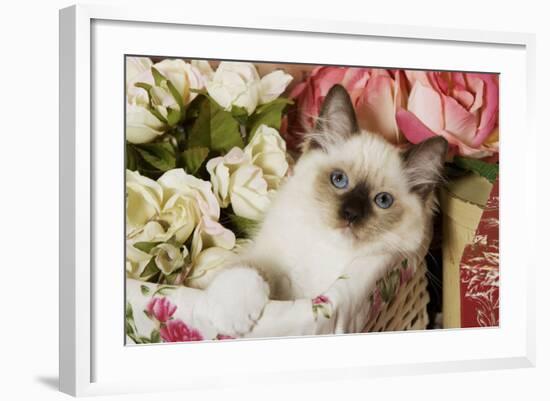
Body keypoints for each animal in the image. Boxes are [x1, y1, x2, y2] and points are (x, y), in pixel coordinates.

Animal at [196, 83, 446, 334]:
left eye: (383, 200)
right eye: (339, 179)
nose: (351, 215)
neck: (327, 251)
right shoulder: (269, 262)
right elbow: (246, 268)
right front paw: (230, 317)